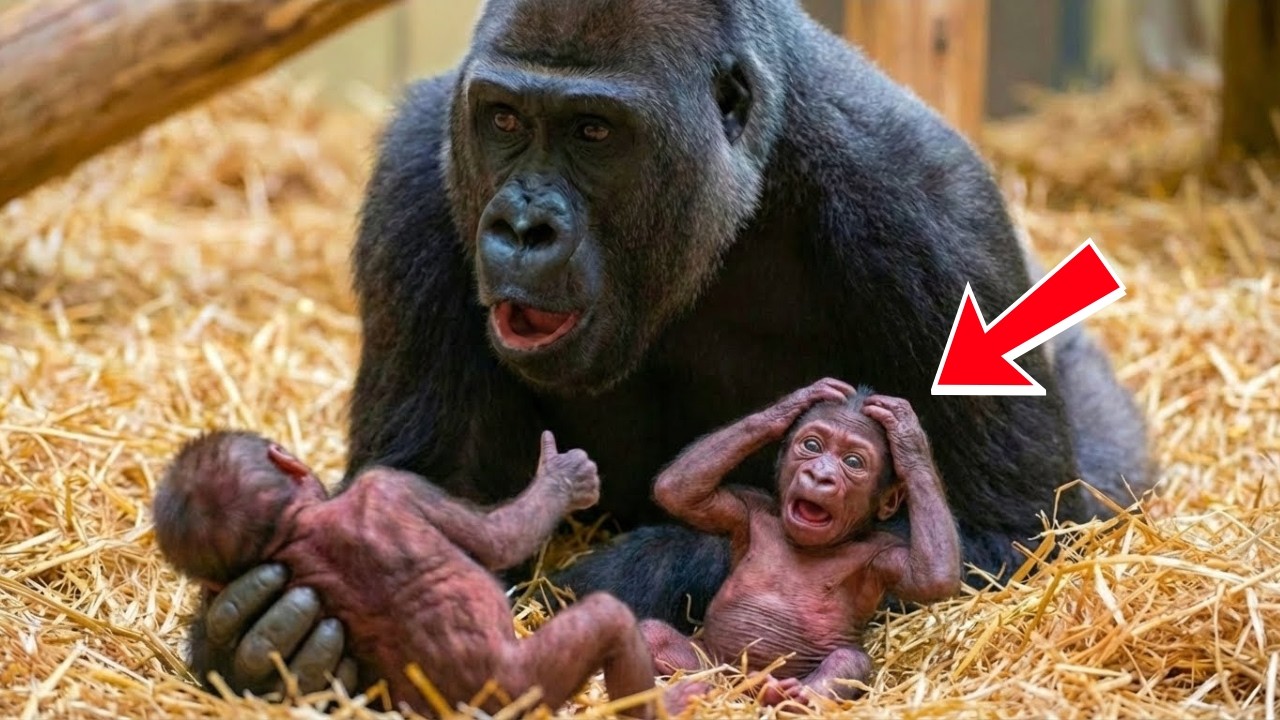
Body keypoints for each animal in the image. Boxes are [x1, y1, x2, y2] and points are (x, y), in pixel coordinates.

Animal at [152, 430, 656, 717]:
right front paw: (562, 478)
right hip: (522, 688)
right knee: (608, 619)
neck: (291, 529)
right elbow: (500, 539)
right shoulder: (393, 486)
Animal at [639, 379, 960, 709]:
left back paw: (791, 696)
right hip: (715, 666)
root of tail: (743, 690)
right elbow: (680, 492)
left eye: (853, 462)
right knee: (655, 634)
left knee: (849, 659)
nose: (819, 475)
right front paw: (797, 402)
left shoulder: (882, 554)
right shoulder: (744, 509)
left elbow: (930, 577)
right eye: (812, 446)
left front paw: (907, 435)